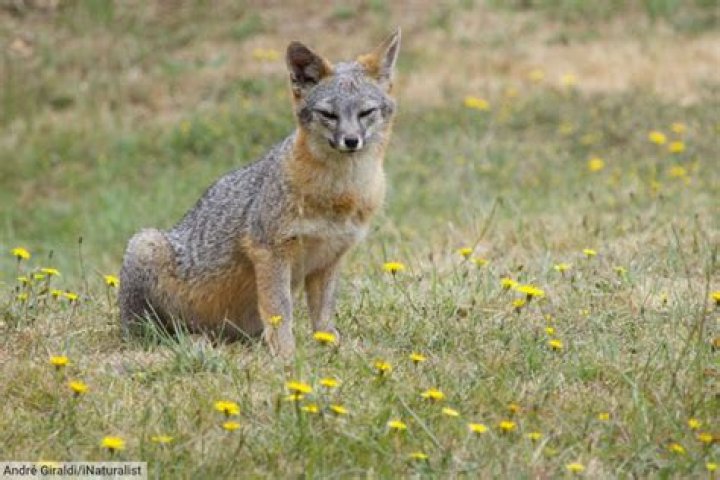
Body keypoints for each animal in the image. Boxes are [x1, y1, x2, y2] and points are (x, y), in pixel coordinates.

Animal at [118, 29, 401, 358]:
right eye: (328, 115)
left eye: (366, 112)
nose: (351, 140)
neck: (339, 194)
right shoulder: (270, 249)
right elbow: (280, 310)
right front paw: (287, 356)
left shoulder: (330, 258)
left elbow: (323, 315)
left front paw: (331, 347)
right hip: (145, 246)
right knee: (152, 335)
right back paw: (189, 341)